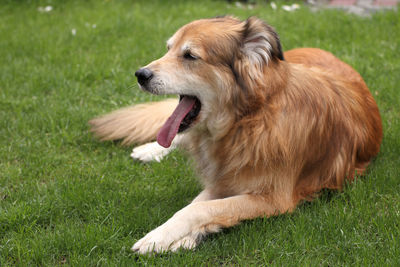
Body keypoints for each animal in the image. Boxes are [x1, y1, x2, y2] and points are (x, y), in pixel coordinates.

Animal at [89, 15, 382, 254]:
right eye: (168, 48)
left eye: (190, 56)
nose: (140, 74)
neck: (248, 119)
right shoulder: (224, 179)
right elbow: (195, 205)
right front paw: (170, 235)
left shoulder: (274, 198)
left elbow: (202, 208)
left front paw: (170, 238)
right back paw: (150, 150)